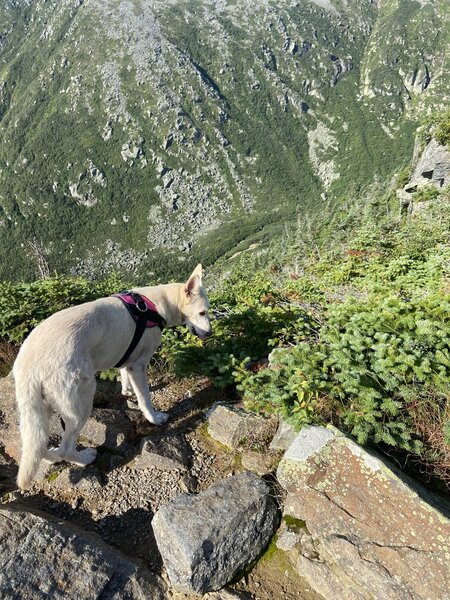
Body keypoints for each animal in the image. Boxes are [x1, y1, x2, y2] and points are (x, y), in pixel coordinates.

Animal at [13, 264, 211, 490]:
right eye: (202, 312)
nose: (210, 333)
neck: (156, 305)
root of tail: (29, 366)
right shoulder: (138, 365)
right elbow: (145, 399)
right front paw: (154, 418)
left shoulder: (127, 360)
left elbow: (124, 376)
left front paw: (126, 391)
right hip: (81, 402)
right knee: (66, 447)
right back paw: (84, 458)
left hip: (39, 410)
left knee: (37, 447)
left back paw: (51, 457)